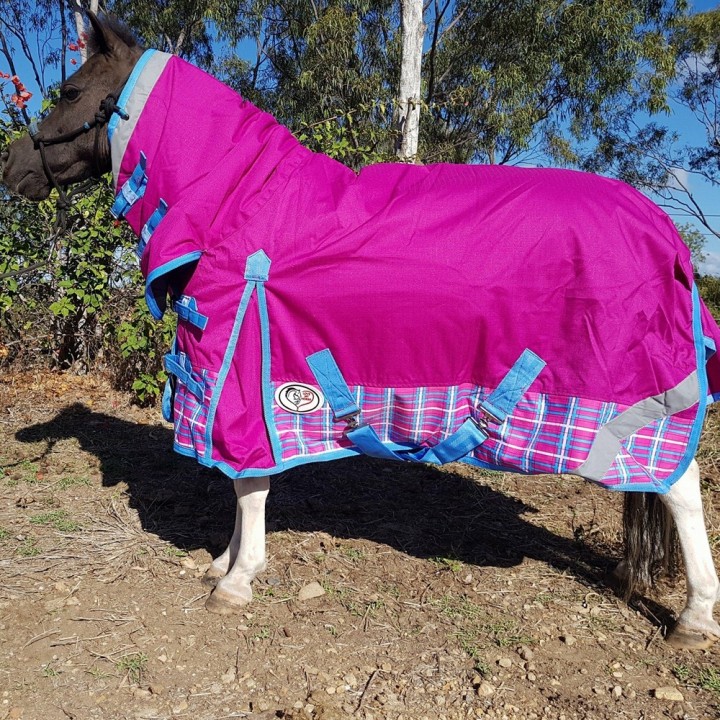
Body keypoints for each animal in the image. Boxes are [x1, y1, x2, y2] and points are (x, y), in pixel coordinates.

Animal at [3, 12, 720, 650]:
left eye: (69, 93)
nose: (11, 167)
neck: (238, 205)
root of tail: (662, 230)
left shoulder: (245, 375)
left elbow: (248, 484)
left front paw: (237, 580)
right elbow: (240, 485)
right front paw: (223, 562)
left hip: (638, 394)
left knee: (679, 490)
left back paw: (693, 617)